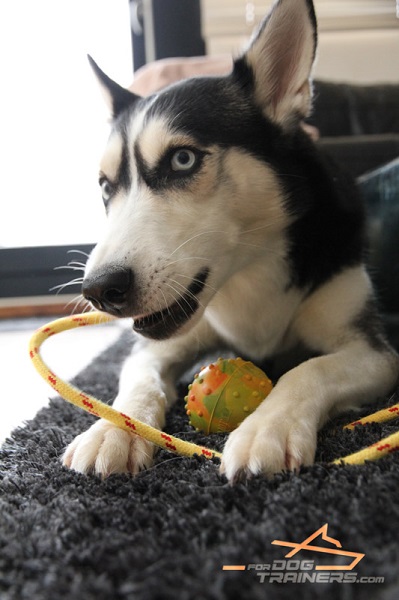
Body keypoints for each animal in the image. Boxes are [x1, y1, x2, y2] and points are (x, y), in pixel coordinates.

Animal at [62, 0, 396, 480]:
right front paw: (115, 430)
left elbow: (309, 369)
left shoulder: (373, 352)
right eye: (106, 186)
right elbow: (138, 378)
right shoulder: (159, 344)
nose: (99, 289)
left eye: (182, 160)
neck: (248, 273)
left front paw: (268, 428)